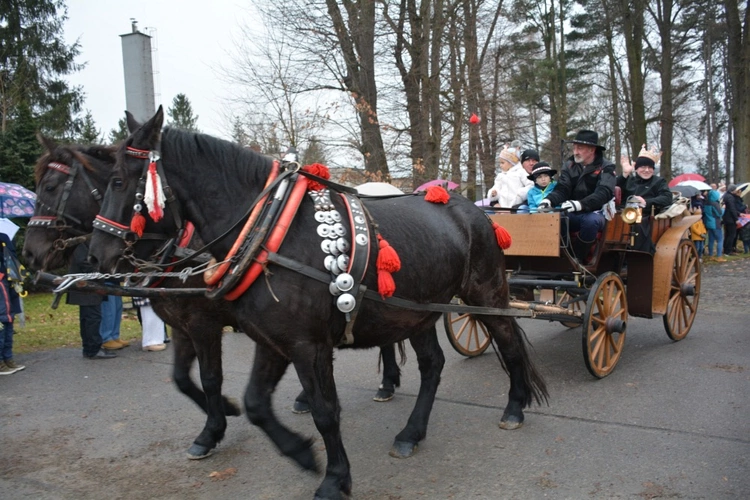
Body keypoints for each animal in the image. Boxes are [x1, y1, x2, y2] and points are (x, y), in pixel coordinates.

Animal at [20, 137, 402, 460]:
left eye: (50, 187)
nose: (29, 254)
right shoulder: (181, 325)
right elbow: (181, 378)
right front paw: (222, 415)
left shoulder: (204, 323)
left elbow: (210, 377)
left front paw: (215, 426)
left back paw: (387, 383)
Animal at [88, 107, 548, 498]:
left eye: (117, 181)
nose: (95, 257)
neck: (270, 234)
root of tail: (471, 209)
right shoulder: (272, 340)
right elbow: (255, 404)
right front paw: (301, 452)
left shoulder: (303, 345)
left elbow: (326, 412)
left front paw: (334, 477)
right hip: (416, 311)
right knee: (433, 365)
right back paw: (411, 433)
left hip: (484, 292)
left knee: (507, 340)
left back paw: (515, 406)